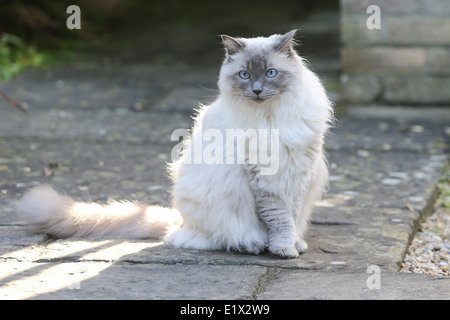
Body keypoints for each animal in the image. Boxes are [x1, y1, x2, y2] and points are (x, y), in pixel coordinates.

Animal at [15, 30, 332, 258]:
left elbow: (290, 217)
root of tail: (178, 221)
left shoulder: (299, 175)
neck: (270, 118)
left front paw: (290, 246)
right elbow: (277, 218)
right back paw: (249, 245)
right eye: (244, 75)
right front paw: (279, 248)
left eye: (270, 73)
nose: (256, 90)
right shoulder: (263, 180)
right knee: (206, 239)